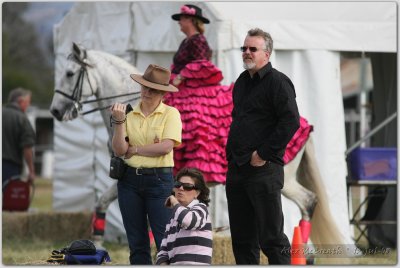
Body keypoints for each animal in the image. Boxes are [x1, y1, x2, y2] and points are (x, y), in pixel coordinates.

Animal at [50, 42, 344, 249]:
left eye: (70, 74)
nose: (55, 111)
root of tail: (304, 123)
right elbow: (103, 203)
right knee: (309, 201)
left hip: (281, 180)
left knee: (307, 203)